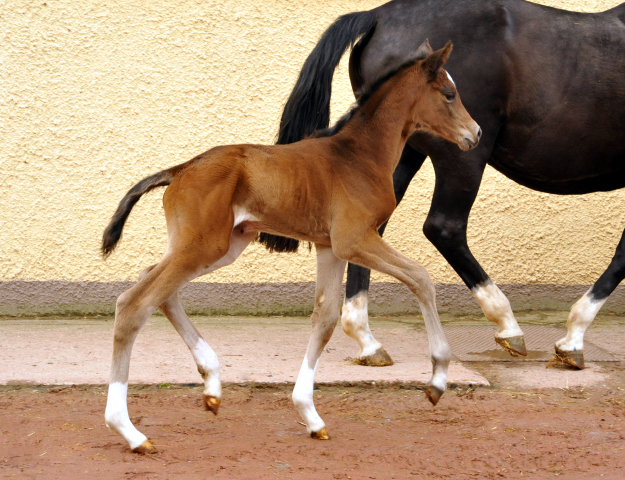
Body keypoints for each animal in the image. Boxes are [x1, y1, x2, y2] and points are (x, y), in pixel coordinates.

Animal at [102, 39, 478, 452]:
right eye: (450, 93)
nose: (475, 133)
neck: (360, 155)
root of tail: (180, 169)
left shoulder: (331, 248)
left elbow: (325, 317)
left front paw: (310, 415)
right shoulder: (355, 240)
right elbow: (420, 278)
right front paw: (437, 380)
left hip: (221, 246)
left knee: (153, 284)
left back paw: (212, 384)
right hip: (202, 247)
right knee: (134, 303)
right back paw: (129, 431)